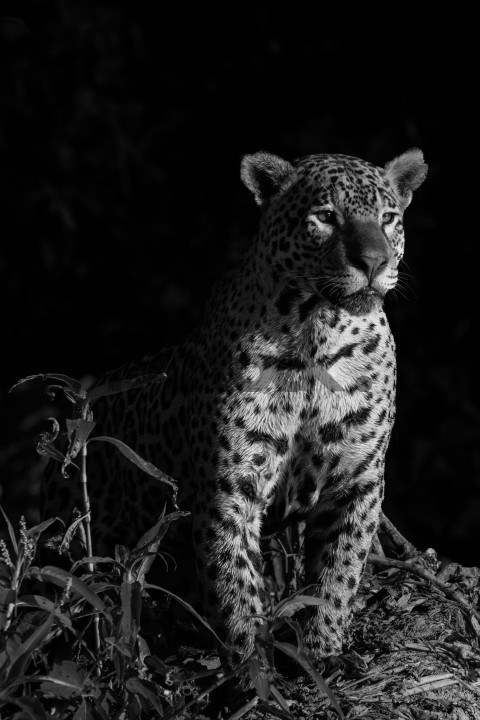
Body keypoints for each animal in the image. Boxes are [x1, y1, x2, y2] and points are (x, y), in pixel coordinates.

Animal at [42, 147, 427, 664]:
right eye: (326, 217)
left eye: (388, 219)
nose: (373, 262)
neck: (317, 336)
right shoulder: (230, 489)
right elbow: (234, 585)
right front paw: (250, 668)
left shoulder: (355, 484)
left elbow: (336, 577)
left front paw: (321, 654)